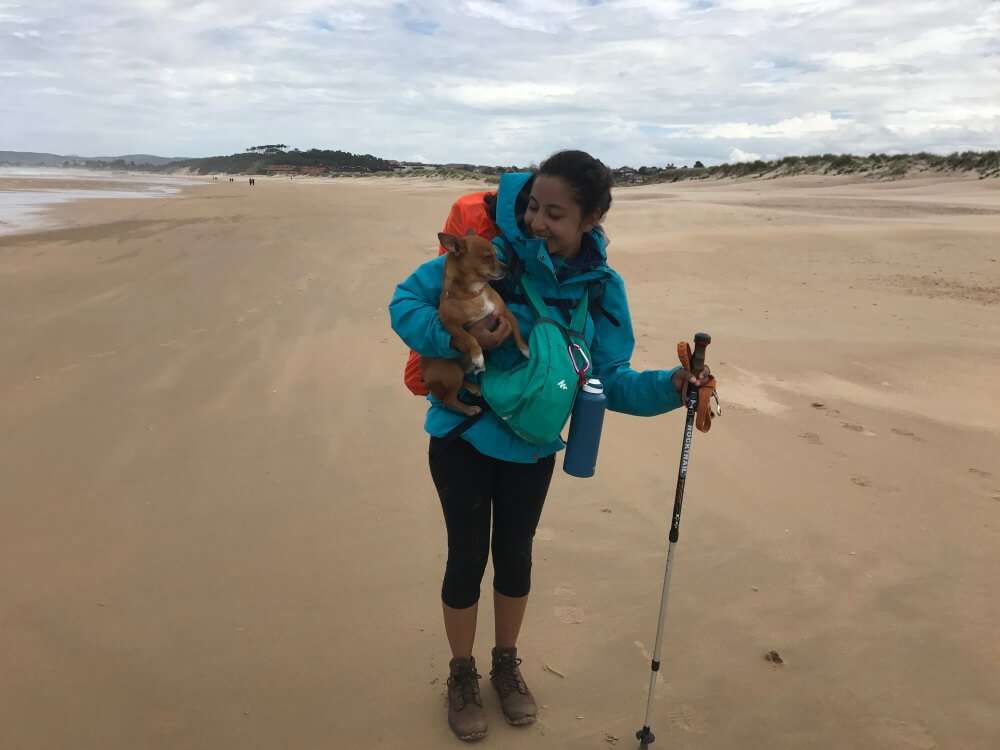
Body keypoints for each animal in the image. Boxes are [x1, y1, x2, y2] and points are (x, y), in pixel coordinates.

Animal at [420, 232, 532, 418]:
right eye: (487, 257)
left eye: (496, 254)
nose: (506, 268)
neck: (474, 294)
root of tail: (425, 376)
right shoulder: (452, 327)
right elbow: (470, 337)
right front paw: (478, 356)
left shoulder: (504, 312)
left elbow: (517, 331)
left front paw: (526, 350)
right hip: (453, 372)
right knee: (448, 400)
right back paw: (469, 409)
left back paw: (473, 387)